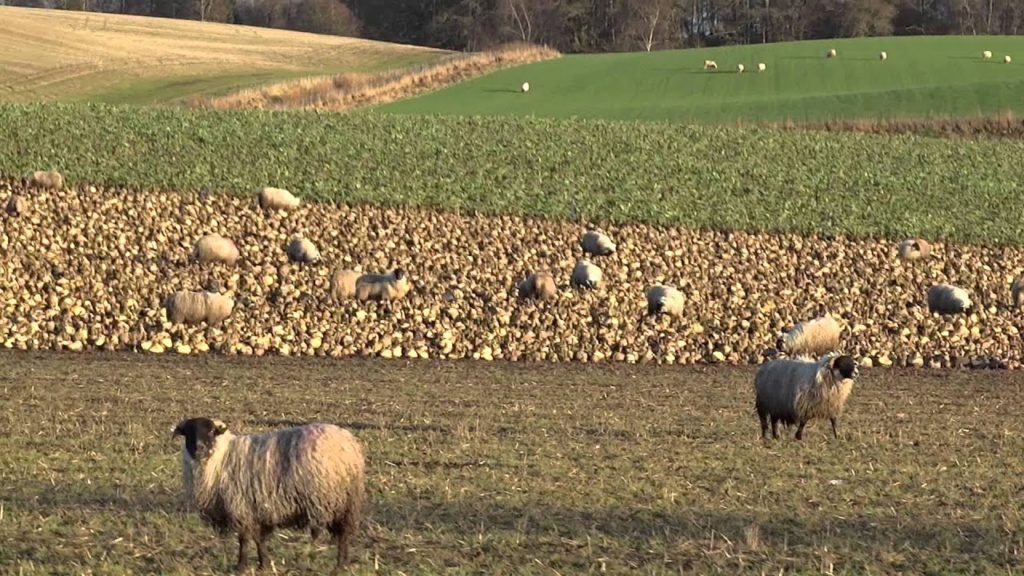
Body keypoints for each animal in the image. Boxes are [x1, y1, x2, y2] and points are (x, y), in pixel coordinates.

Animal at [173, 417, 365, 572]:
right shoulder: (257, 507)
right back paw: (344, 563)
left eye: (211, 431)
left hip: (340, 500)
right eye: (188, 432)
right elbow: (259, 539)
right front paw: (263, 564)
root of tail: (350, 442)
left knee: (343, 534)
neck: (222, 457)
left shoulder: (240, 506)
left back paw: (341, 565)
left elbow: (244, 539)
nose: (199, 448)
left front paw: (241, 566)